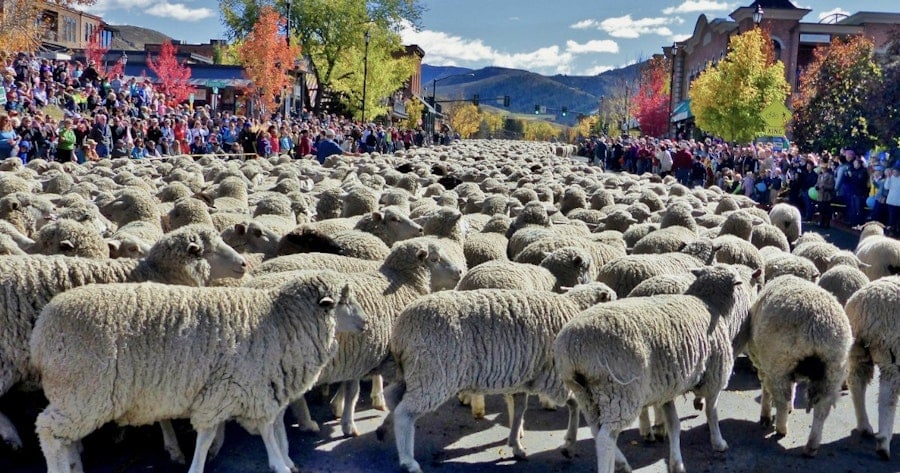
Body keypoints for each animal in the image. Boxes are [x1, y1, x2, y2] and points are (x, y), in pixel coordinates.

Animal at [32, 270, 366, 473]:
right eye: (344, 300)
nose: (365, 323)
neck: (280, 322)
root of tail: (41, 331)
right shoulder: (241, 387)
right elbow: (259, 430)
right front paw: (279, 463)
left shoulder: (240, 390)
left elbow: (249, 430)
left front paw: (284, 459)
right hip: (83, 392)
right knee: (48, 431)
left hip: (75, 395)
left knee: (64, 439)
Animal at [379, 283, 616, 472]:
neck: (575, 310)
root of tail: (401, 329)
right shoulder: (553, 377)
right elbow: (574, 405)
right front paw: (568, 444)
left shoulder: (523, 378)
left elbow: (519, 410)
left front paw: (515, 444)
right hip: (433, 376)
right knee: (405, 413)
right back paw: (408, 461)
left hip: (413, 373)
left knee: (392, 397)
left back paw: (383, 430)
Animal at [553, 265, 753, 473]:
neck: (709, 305)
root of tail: (574, 349)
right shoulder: (714, 377)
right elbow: (712, 413)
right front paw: (718, 442)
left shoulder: (667, 387)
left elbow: (674, 425)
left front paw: (676, 462)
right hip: (619, 391)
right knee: (605, 437)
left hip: (587, 395)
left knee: (595, 429)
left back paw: (622, 463)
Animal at [747, 275, 852, 457]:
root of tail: (817, 324)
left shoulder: (764, 365)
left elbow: (766, 390)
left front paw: (765, 416)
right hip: (833, 369)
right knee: (822, 408)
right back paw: (812, 445)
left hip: (780, 362)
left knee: (782, 397)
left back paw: (781, 428)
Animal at [844, 276, 900, 460]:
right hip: (890, 351)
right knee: (887, 397)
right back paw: (883, 442)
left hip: (859, 350)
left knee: (856, 383)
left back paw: (864, 426)